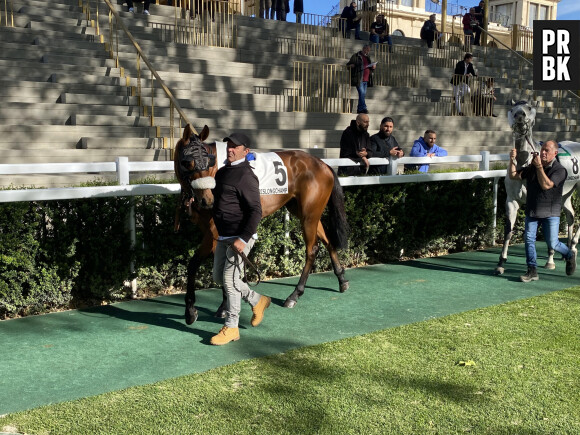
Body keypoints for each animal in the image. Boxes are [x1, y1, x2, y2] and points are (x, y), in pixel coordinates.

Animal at [173, 124, 348, 326]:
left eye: (208, 161)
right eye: (188, 163)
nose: (208, 200)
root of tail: (323, 164)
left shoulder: (214, 234)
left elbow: (196, 264)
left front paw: (193, 310)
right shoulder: (214, 233)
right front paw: (222, 305)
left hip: (309, 215)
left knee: (312, 249)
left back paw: (294, 295)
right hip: (306, 213)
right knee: (328, 241)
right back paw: (341, 279)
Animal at [494, 100, 580, 274]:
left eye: (529, 108)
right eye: (512, 109)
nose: (519, 116)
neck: (523, 166)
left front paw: (550, 260)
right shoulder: (512, 201)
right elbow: (508, 231)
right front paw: (501, 263)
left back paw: (573, 245)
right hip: (565, 194)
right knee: (571, 215)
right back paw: (568, 250)